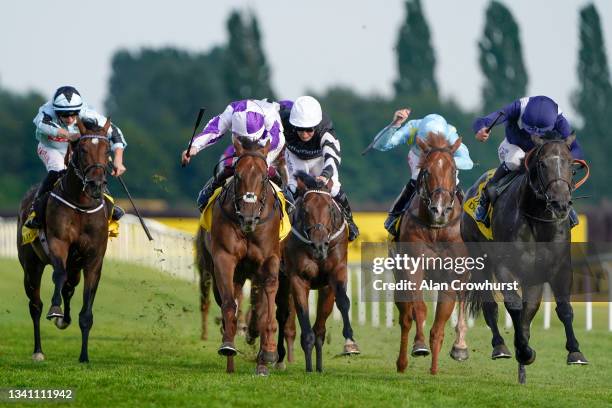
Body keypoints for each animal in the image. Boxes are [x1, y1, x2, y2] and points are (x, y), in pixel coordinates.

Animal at [17, 118, 113, 364]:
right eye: (82, 149)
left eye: (107, 150)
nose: (95, 184)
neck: (81, 205)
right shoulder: (58, 243)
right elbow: (57, 276)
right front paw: (56, 310)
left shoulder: (93, 259)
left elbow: (86, 310)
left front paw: (84, 356)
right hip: (31, 265)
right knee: (35, 305)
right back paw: (38, 350)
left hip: (75, 266)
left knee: (69, 288)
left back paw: (65, 321)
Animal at [200, 137, 284, 376]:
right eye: (238, 175)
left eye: (264, 177)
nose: (249, 217)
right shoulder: (224, 258)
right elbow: (230, 304)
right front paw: (228, 345)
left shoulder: (269, 259)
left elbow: (267, 303)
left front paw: (268, 354)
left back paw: (262, 361)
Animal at [276, 171, 358, 372]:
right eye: (306, 209)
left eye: (329, 208)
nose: (319, 245)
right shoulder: (298, 279)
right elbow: (304, 318)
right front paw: (309, 367)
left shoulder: (334, 276)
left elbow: (341, 303)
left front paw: (349, 342)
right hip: (282, 278)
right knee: (282, 314)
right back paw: (279, 358)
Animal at [394, 132, 470, 374]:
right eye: (427, 171)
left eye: (453, 170)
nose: (440, 209)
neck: (437, 229)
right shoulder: (412, 265)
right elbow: (418, 308)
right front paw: (419, 345)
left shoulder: (452, 275)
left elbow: (439, 326)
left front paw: (436, 368)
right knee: (405, 317)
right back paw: (402, 363)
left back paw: (459, 347)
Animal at [464, 131, 588, 382]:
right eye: (542, 164)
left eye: (571, 164)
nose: (560, 203)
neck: (538, 220)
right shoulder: (505, 267)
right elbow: (513, 306)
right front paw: (522, 350)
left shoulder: (559, 268)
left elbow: (563, 308)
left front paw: (575, 352)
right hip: (479, 260)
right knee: (490, 306)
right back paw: (501, 346)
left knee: (529, 309)